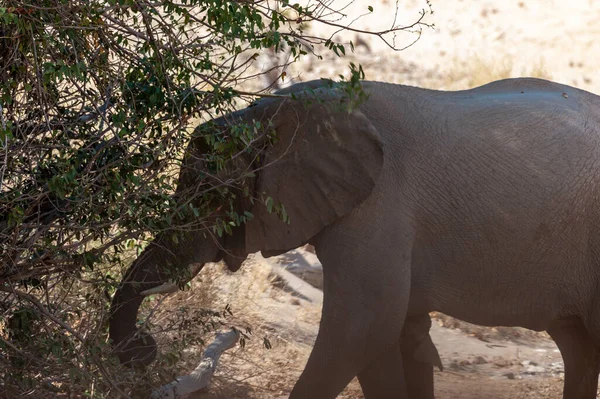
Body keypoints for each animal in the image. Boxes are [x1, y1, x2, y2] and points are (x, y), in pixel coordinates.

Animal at [110, 76, 600, 398]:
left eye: (212, 195)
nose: (144, 348)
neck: (274, 112)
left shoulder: (378, 207)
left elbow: (361, 330)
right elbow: (396, 336)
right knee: (578, 347)